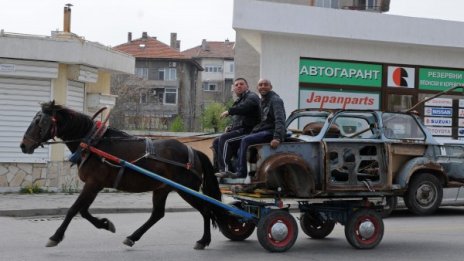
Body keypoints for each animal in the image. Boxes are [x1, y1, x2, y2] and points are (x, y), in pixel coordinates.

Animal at [20, 100, 230, 249]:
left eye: (39, 121)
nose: (23, 145)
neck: (94, 142)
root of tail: (193, 151)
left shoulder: (93, 184)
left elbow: (74, 209)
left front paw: (55, 236)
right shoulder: (95, 186)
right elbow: (83, 211)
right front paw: (105, 223)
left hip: (186, 189)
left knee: (206, 210)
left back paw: (203, 240)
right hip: (162, 188)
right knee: (157, 214)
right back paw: (132, 237)